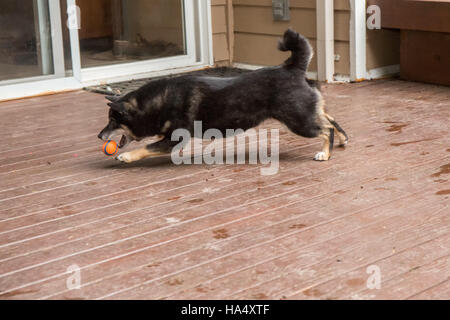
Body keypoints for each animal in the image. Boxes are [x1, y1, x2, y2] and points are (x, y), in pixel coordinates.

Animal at [99, 28, 348, 164]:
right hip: (306, 113)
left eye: (112, 121)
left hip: (299, 121)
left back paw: (325, 153)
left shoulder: (175, 138)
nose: (100, 135)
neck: (158, 102)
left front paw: (126, 157)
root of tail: (292, 67)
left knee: (326, 128)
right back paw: (343, 140)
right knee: (331, 120)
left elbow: (146, 148)